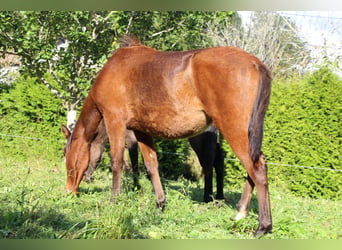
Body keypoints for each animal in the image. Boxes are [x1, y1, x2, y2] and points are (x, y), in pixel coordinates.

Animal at [62, 122, 226, 203]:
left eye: (78, 157)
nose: (87, 178)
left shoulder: (130, 137)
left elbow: (134, 160)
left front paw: (137, 186)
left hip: (199, 139)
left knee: (208, 162)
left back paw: (207, 198)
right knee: (219, 162)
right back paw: (219, 197)